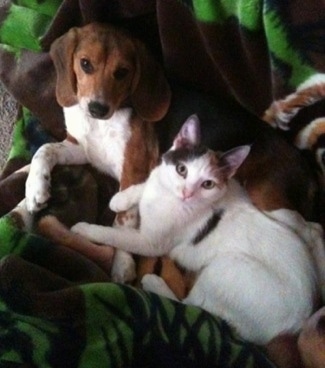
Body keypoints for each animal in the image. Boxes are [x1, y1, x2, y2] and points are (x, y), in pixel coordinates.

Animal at [25, 21, 171, 284]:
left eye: (122, 72)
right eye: (85, 64)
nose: (97, 108)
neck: (99, 125)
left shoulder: (133, 169)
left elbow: (122, 218)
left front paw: (122, 263)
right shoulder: (81, 149)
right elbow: (44, 149)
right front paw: (35, 189)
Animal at [71, 114, 324, 344]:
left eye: (207, 184)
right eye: (181, 169)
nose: (187, 193)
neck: (167, 198)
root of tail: (295, 325)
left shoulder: (151, 243)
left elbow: (116, 235)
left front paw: (85, 229)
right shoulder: (231, 187)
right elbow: (147, 182)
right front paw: (121, 199)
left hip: (226, 267)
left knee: (190, 304)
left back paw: (153, 282)